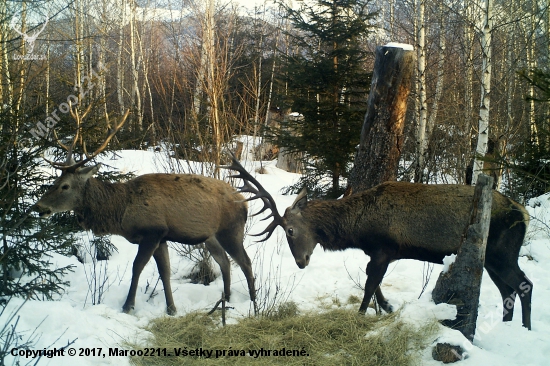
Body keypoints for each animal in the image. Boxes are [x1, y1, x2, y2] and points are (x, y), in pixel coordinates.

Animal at [35, 115, 256, 314]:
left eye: (65, 186)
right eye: (55, 181)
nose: (38, 207)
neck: (121, 213)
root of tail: (245, 203)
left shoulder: (152, 232)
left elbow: (137, 267)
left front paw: (128, 306)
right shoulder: (162, 237)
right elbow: (165, 272)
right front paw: (171, 308)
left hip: (231, 230)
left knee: (245, 261)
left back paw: (253, 302)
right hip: (210, 237)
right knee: (225, 262)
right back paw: (227, 298)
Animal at [223, 154, 536, 328]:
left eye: (289, 230)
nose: (301, 262)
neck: (359, 229)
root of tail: (523, 213)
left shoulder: (385, 248)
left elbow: (369, 284)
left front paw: (363, 314)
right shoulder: (378, 252)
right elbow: (375, 283)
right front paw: (387, 307)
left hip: (501, 253)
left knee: (525, 284)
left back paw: (526, 327)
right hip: (492, 259)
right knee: (507, 290)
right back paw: (508, 325)